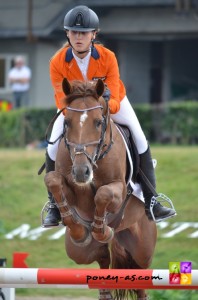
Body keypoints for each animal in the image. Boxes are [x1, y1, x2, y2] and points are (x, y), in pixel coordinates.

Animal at [44, 78, 156, 300]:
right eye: (67, 123)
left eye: (98, 122)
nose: (81, 172)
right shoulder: (70, 189)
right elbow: (53, 181)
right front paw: (82, 231)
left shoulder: (119, 190)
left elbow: (103, 195)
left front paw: (102, 229)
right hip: (79, 253)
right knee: (103, 257)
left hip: (143, 249)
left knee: (139, 271)